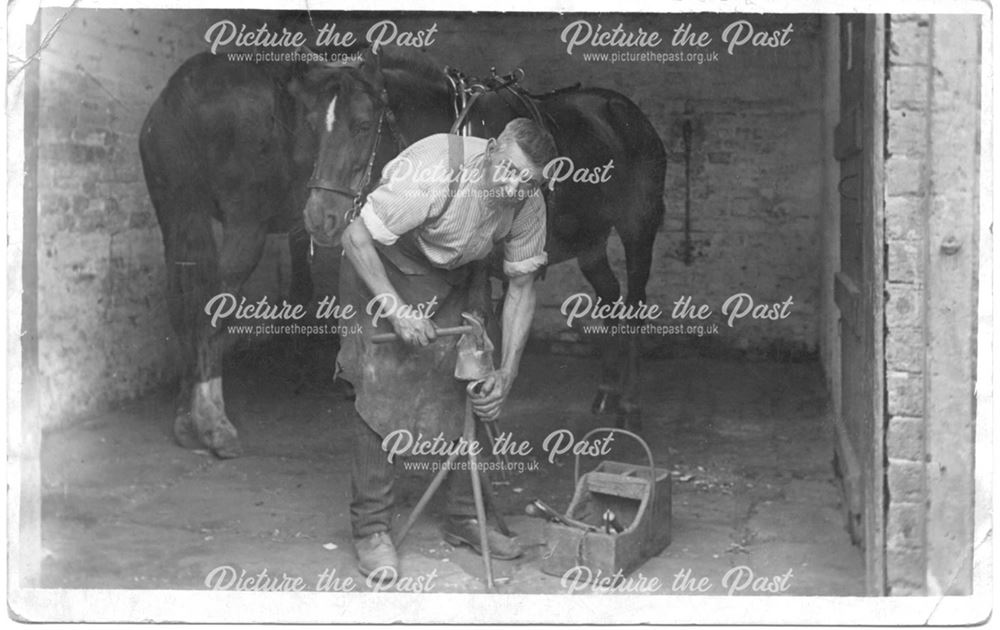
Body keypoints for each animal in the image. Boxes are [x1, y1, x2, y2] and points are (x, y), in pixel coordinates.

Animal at [300, 48, 668, 424]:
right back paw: (608, 390)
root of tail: (623, 108)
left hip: (638, 231)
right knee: (609, 295)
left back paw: (629, 404)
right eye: (312, 126)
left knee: (635, 305)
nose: (319, 218)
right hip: (589, 242)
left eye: (361, 126)